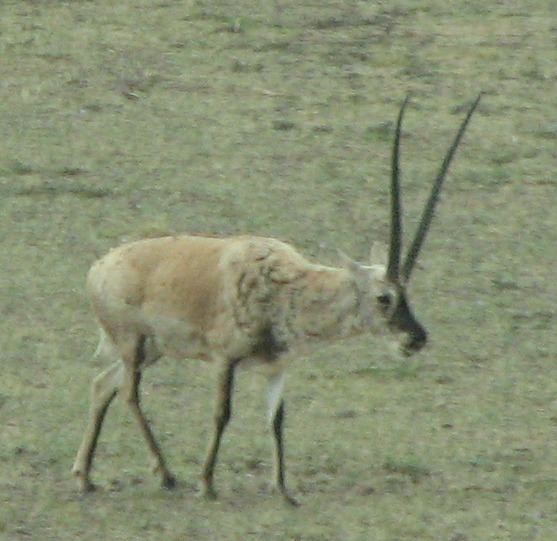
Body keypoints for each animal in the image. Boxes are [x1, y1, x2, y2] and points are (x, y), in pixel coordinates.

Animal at [71, 94, 480, 506]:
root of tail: (99, 267)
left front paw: (284, 490)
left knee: (103, 384)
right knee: (129, 393)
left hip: (153, 349)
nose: (416, 338)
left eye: (407, 293)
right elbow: (222, 413)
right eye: (384, 297)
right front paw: (207, 483)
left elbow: (277, 420)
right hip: (134, 343)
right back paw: (167, 476)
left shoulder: (276, 367)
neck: (288, 285)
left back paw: (86, 476)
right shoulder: (225, 360)